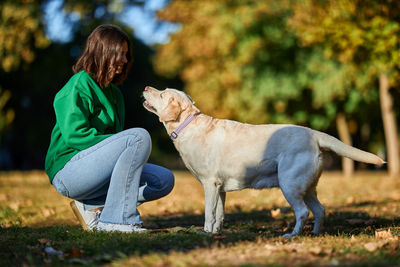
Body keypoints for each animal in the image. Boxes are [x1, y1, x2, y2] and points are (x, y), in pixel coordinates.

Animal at [143, 87, 384, 238]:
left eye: (162, 94)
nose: (146, 87)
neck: (189, 126)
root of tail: (313, 134)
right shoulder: (220, 188)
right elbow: (220, 213)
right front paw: (216, 234)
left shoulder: (209, 184)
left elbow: (208, 213)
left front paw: (205, 232)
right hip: (307, 187)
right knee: (320, 210)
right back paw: (315, 233)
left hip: (289, 183)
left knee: (303, 212)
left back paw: (292, 235)